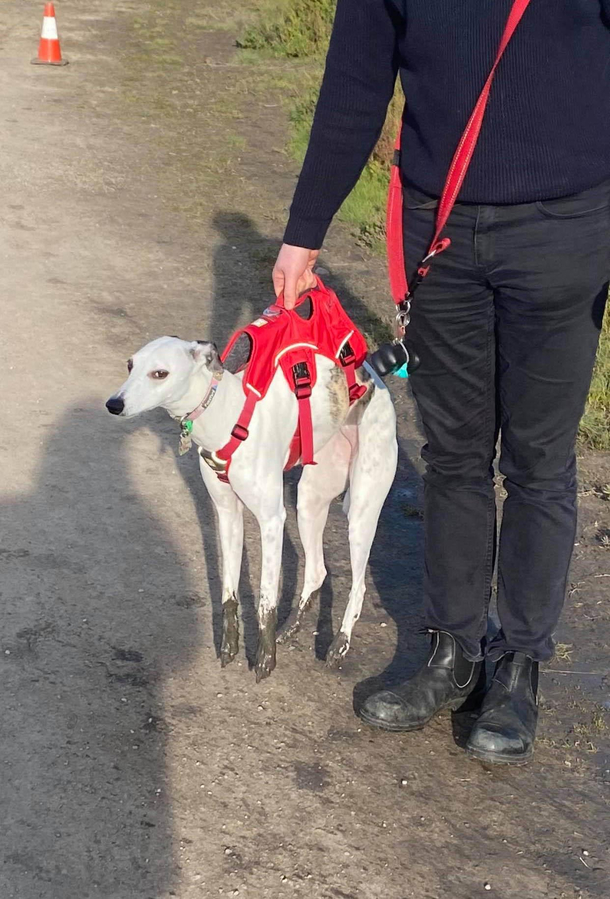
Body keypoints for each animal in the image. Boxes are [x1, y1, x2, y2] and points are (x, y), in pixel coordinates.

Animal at [106, 340, 396, 684]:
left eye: (159, 373)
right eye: (130, 365)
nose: (113, 404)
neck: (228, 416)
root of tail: (374, 377)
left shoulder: (271, 522)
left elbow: (265, 601)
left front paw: (264, 659)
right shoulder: (226, 513)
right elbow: (229, 591)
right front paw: (229, 646)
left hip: (362, 511)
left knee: (359, 583)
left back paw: (339, 645)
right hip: (309, 502)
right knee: (317, 570)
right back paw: (291, 629)